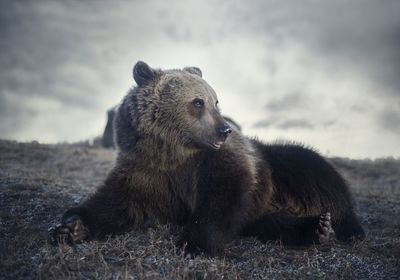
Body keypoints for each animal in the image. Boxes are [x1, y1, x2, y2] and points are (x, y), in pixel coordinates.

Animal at [48, 61, 364, 256]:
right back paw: (315, 228)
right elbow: (116, 203)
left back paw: (337, 225)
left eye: (216, 100)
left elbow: (222, 196)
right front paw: (70, 227)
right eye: (197, 102)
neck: (174, 152)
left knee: (315, 172)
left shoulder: (218, 163)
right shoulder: (144, 169)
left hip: (284, 168)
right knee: (274, 224)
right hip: (263, 212)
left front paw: (194, 244)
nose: (225, 129)